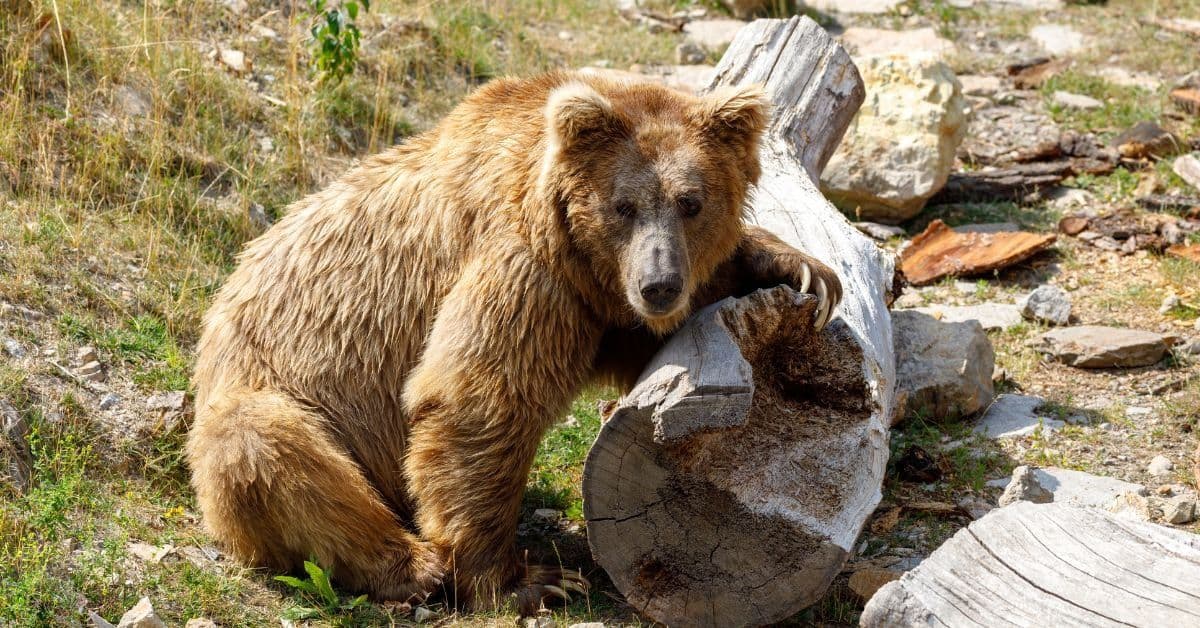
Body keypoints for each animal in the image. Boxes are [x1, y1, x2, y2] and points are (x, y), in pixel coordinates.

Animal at [186, 70, 842, 612]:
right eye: (624, 205)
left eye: (692, 202)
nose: (658, 284)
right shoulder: (526, 266)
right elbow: (478, 399)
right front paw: (528, 581)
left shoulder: (596, 306)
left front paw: (799, 268)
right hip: (275, 397)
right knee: (268, 450)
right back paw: (415, 566)